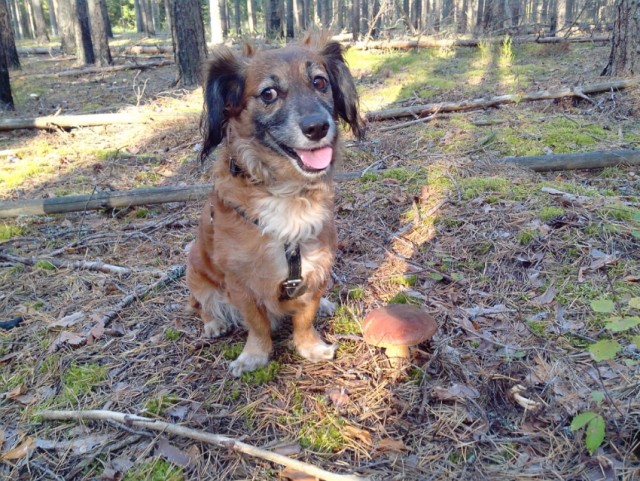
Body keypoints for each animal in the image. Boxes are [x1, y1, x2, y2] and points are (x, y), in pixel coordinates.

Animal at [188, 37, 362, 376]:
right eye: (268, 93)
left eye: (319, 82)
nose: (317, 127)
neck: (287, 192)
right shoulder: (240, 281)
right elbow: (256, 324)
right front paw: (254, 356)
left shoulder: (317, 267)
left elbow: (305, 317)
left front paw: (310, 346)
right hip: (195, 271)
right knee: (202, 305)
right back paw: (214, 323)